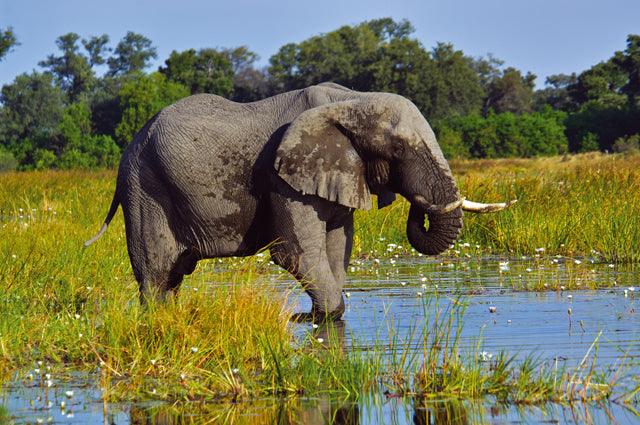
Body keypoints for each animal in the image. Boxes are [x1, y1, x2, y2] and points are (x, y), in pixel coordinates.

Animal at [85, 82, 516, 322]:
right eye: (396, 149)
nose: (419, 206)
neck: (351, 101)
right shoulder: (283, 175)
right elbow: (295, 252)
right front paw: (312, 318)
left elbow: (337, 250)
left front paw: (315, 317)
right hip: (144, 187)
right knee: (157, 272)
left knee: (175, 273)